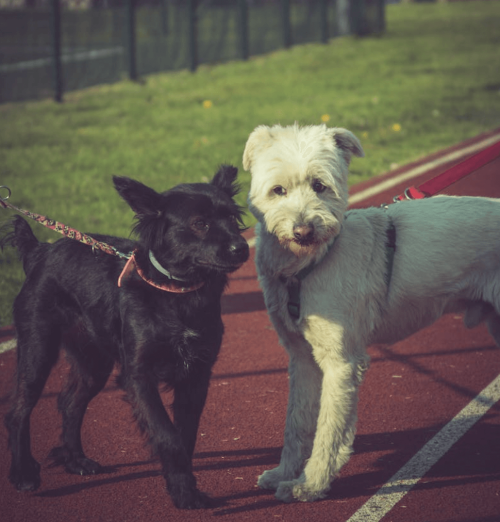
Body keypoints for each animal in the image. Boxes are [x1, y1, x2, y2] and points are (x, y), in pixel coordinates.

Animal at [0, 167, 249, 508]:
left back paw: (76, 461)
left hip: (93, 362)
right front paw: (184, 492)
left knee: (69, 404)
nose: (243, 248)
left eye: (233, 218)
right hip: (38, 349)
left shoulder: (196, 375)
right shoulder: (138, 376)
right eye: (200, 223)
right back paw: (24, 473)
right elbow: (168, 435)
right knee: (18, 411)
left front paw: (183, 487)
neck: (177, 294)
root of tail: (41, 250)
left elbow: (185, 436)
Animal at [243, 122, 500, 500]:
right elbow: (298, 423)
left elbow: (328, 429)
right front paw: (285, 474)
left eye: (320, 185)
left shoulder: (340, 363)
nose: (303, 231)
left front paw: (311, 484)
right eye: (278, 190)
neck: (308, 267)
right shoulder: (301, 359)